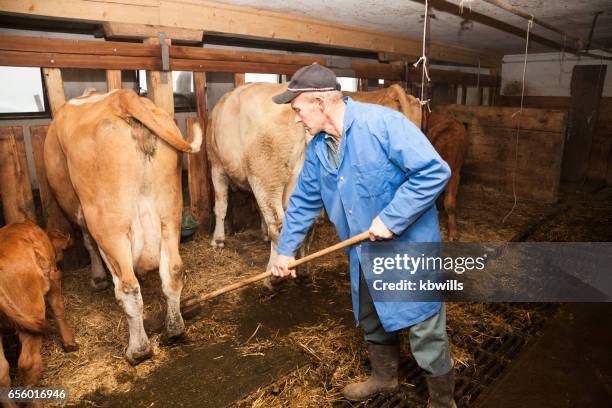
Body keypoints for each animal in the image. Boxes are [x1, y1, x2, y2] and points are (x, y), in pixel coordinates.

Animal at [46, 88, 203, 364]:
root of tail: (123, 97)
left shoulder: (83, 213)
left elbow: (88, 242)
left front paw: (98, 279)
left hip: (109, 226)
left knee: (128, 287)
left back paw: (138, 350)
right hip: (169, 212)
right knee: (173, 270)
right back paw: (174, 330)